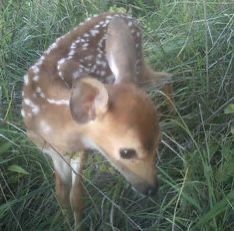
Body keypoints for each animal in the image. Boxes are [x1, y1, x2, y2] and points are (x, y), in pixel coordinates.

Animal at [21, 12, 172, 227]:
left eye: (157, 142)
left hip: (137, 68)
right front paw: (65, 222)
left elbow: (76, 197)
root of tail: (125, 15)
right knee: (165, 76)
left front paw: (78, 225)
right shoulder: (52, 152)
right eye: (127, 152)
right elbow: (61, 194)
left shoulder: (81, 150)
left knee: (167, 76)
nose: (151, 189)